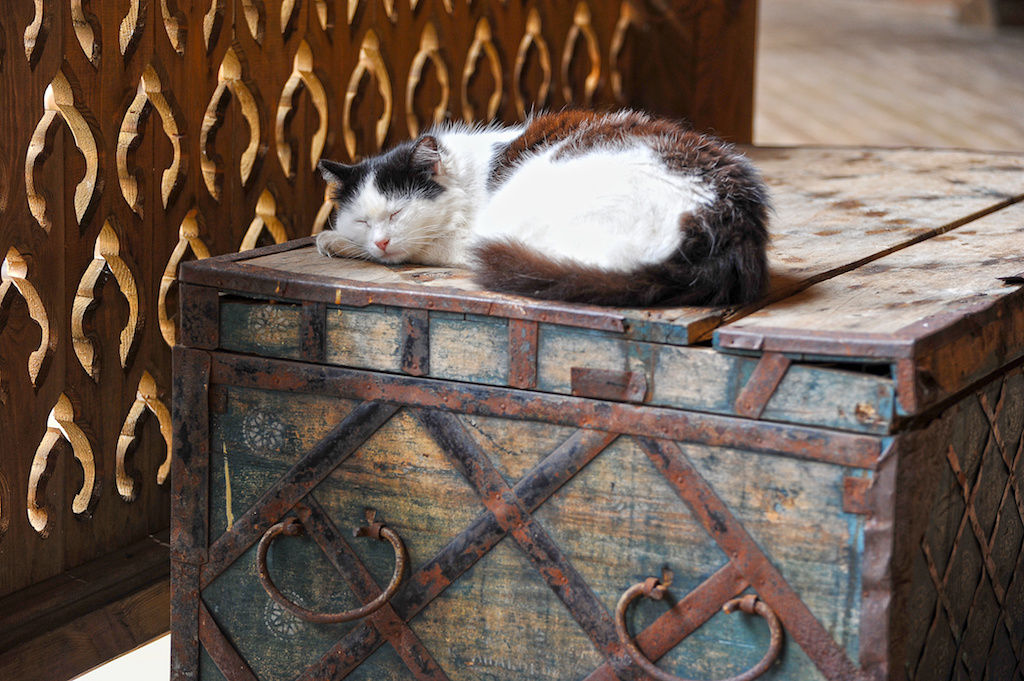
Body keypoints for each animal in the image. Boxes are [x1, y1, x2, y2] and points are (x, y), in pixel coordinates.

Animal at [315, 109, 765, 305]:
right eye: (362, 220)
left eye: (397, 213)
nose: (381, 242)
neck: (469, 173)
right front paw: (344, 240)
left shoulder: (462, 238)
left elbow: (425, 247)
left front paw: (333, 240)